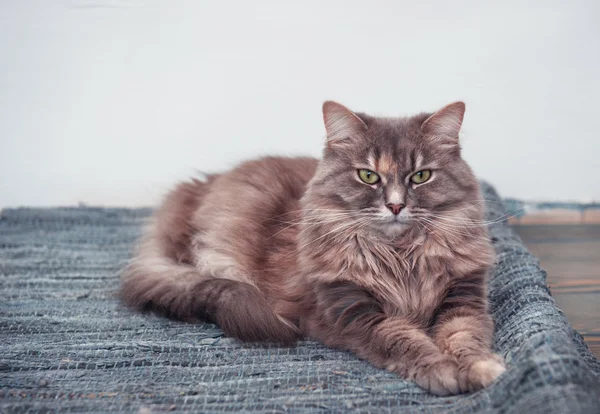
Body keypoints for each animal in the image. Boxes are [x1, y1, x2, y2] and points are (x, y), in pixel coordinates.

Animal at [122, 100, 506, 394]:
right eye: (368, 176)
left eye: (421, 176)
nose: (396, 205)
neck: (401, 256)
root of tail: (196, 188)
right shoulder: (353, 310)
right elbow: (405, 341)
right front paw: (444, 372)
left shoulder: (463, 299)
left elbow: (466, 338)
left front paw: (483, 369)